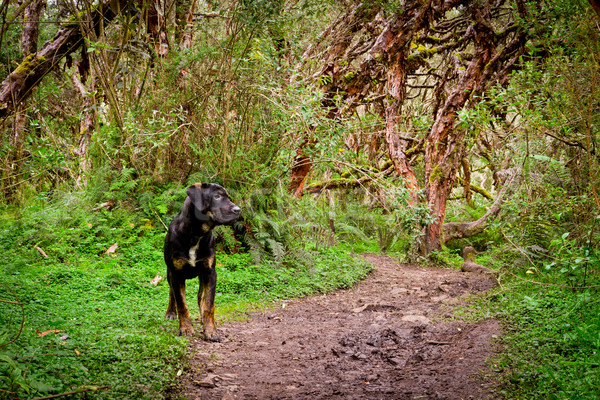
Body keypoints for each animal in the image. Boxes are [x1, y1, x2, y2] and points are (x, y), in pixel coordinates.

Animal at [164, 182, 241, 340]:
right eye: (216, 196)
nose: (238, 210)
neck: (196, 235)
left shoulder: (210, 272)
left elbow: (209, 304)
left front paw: (211, 330)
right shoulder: (176, 273)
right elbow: (181, 304)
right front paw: (186, 328)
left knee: (201, 296)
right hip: (169, 272)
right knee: (171, 293)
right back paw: (170, 313)